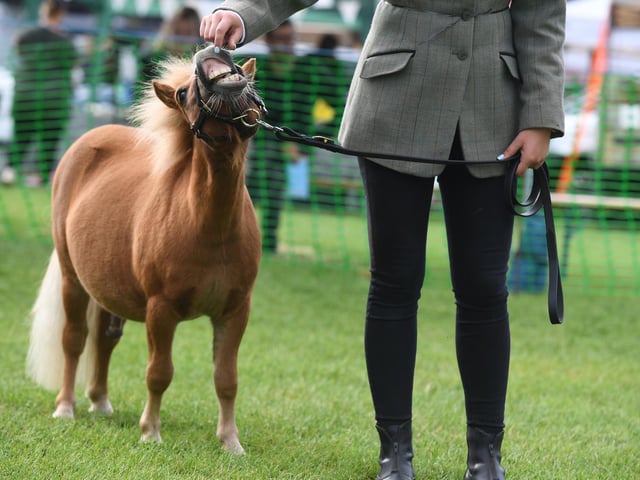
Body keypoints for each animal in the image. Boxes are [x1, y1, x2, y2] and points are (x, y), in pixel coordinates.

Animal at [26, 46, 265, 454]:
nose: (213, 52)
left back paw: (100, 402)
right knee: (74, 340)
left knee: (104, 339)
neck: (208, 225)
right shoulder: (161, 309)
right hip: (73, 281)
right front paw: (150, 431)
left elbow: (226, 378)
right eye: (183, 93)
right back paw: (66, 407)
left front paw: (230, 442)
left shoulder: (236, 311)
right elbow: (159, 373)